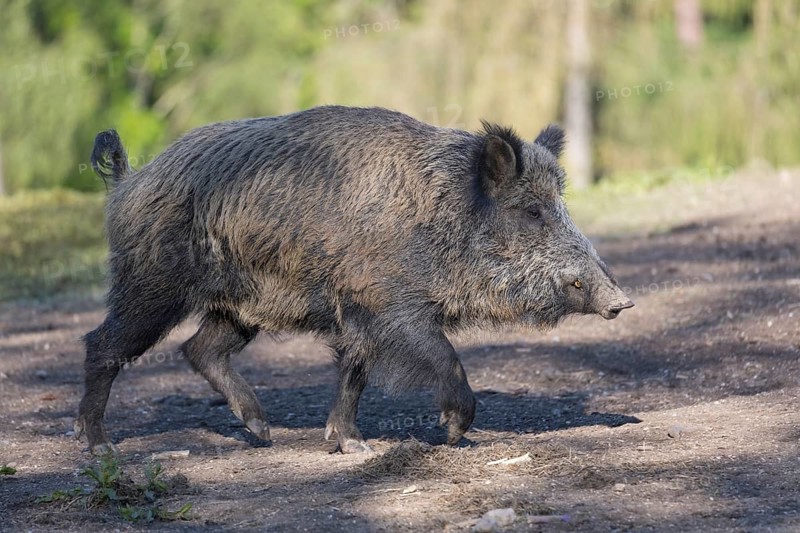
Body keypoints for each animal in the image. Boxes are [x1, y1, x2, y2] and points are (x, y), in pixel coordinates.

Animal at [75, 106, 633, 455]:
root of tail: (128, 182)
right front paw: (453, 434)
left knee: (199, 348)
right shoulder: (390, 306)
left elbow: (354, 374)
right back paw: (100, 446)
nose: (622, 301)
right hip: (151, 286)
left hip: (240, 306)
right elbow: (444, 356)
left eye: (562, 204)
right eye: (533, 211)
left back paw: (263, 432)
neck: (444, 218)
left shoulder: (359, 315)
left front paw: (351, 445)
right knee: (102, 344)